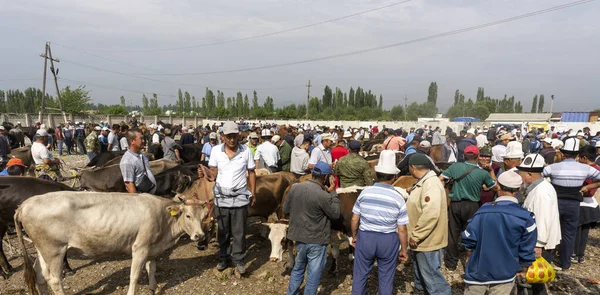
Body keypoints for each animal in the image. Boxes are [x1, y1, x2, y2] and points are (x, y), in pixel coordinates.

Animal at [15, 192, 210, 295]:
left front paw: (153, 288)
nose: (199, 235)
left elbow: (151, 268)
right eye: (188, 215)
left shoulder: (152, 248)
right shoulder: (140, 247)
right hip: (55, 251)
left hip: (43, 250)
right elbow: (134, 275)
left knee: (40, 274)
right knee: (54, 279)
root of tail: (26, 203)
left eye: (204, 216)